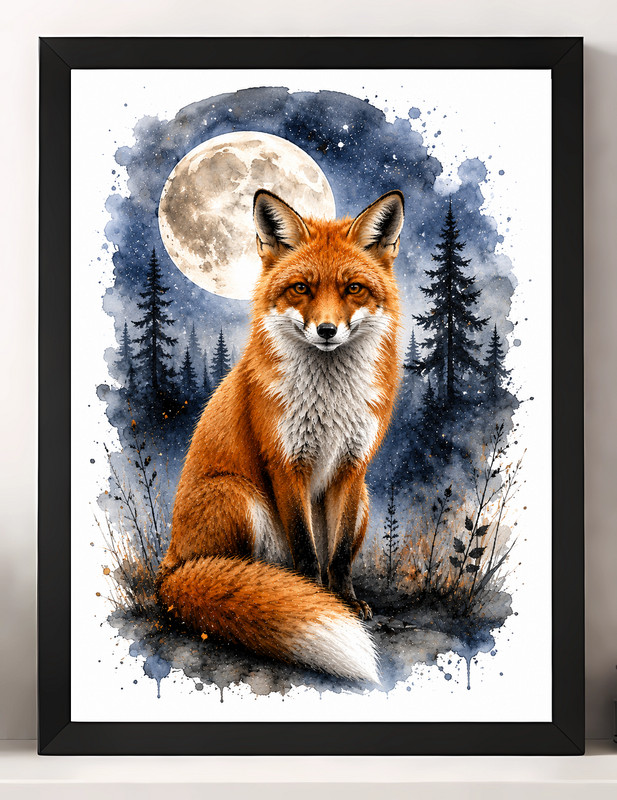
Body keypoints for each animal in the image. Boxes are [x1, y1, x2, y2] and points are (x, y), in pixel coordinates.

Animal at [156, 188, 404, 683]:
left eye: (353, 288)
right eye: (301, 288)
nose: (326, 330)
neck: (330, 400)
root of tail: (170, 568)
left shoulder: (352, 467)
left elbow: (338, 554)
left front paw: (343, 602)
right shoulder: (286, 462)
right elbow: (307, 553)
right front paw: (315, 599)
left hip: (364, 500)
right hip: (238, 497)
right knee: (239, 571)